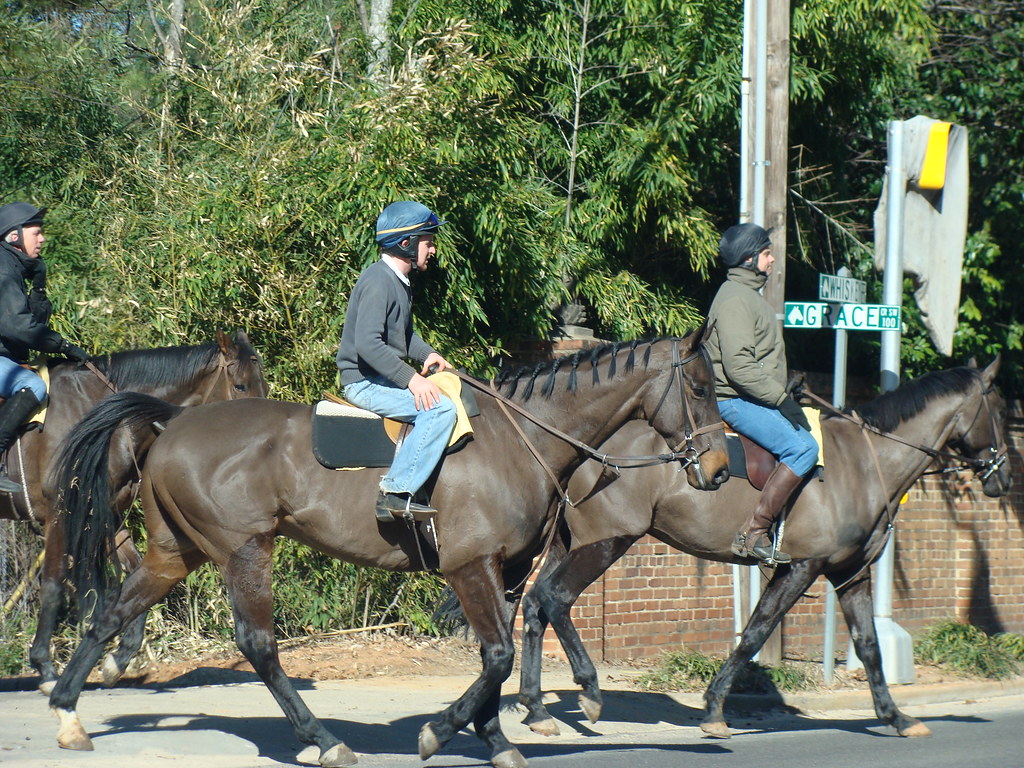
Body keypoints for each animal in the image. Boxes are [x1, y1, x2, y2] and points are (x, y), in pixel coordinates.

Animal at [0, 330, 268, 694]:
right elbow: (53, 585)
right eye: (240, 386)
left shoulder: (108, 515)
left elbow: (135, 573)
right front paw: (45, 668)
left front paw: (119, 658)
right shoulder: (60, 513)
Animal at [47, 330, 730, 768]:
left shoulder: (505, 572)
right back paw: (323, 739)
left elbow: (497, 658)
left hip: (174, 553)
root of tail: (170, 423)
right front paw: (439, 731)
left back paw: (68, 712)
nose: (722, 469)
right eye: (700, 388)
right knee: (258, 644)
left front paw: (495, 739)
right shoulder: (470, 567)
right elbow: (499, 657)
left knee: (112, 614)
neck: (519, 439)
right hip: (244, 549)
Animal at [516, 358, 1011, 740]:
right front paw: (715, 709)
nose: (1004, 476)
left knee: (535, 604)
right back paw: (589, 691)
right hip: (606, 542)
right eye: (1000, 409)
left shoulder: (850, 574)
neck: (864, 465)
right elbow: (756, 631)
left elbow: (869, 646)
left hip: (569, 543)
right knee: (555, 599)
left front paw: (897, 717)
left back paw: (536, 708)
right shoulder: (801, 567)